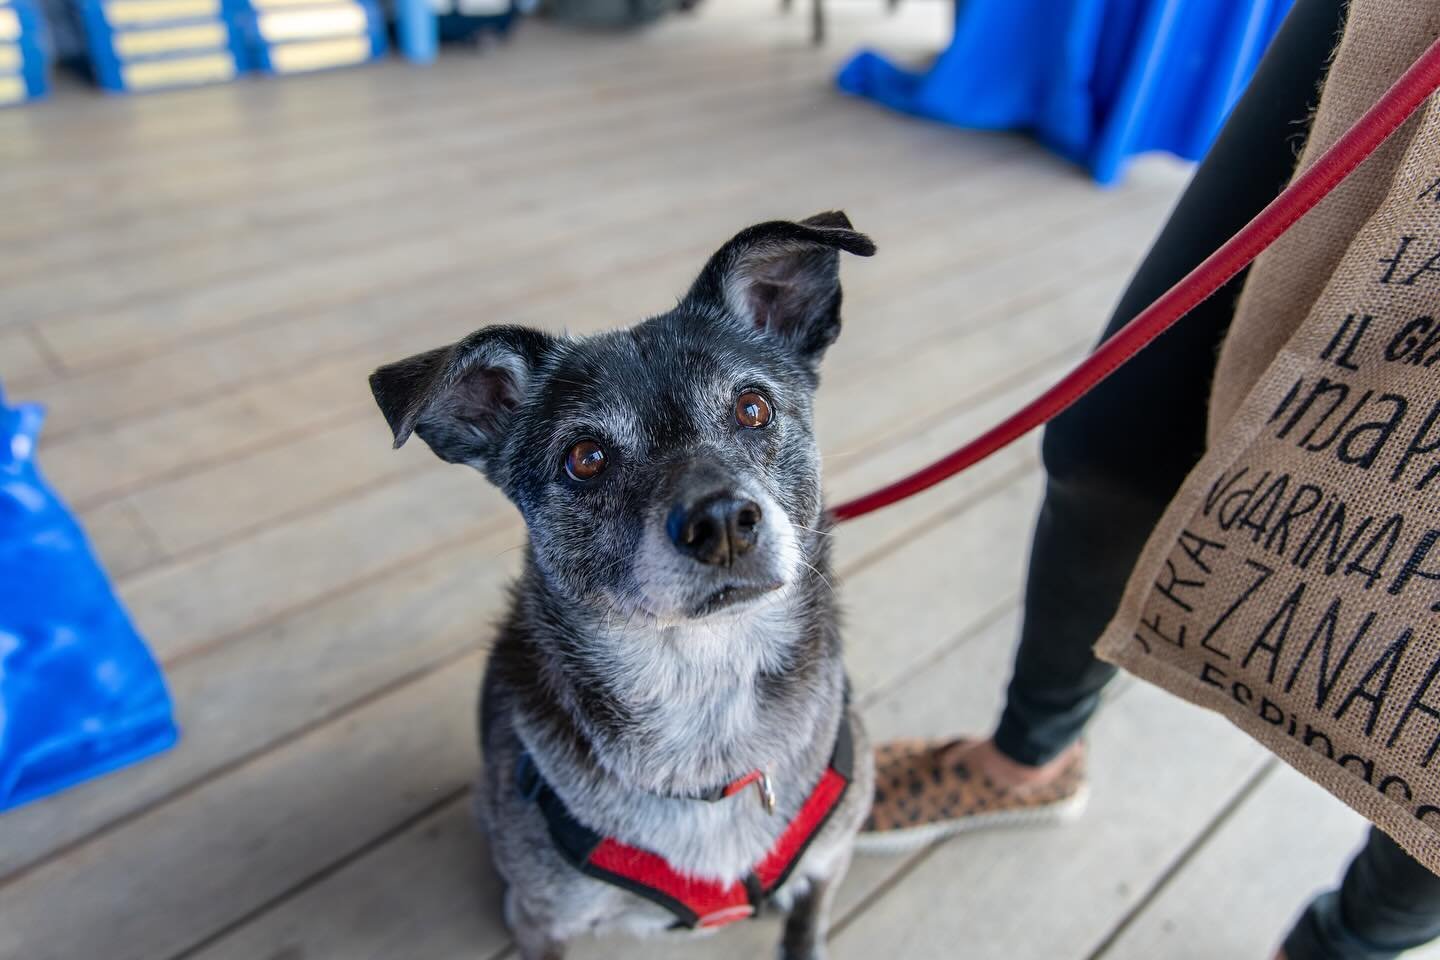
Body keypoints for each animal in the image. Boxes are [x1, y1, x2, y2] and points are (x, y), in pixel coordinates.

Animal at [365, 211, 875, 960]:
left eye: (753, 408)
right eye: (586, 459)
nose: (722, 523)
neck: (706, 694)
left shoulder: (829, 863)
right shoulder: (542, 920)